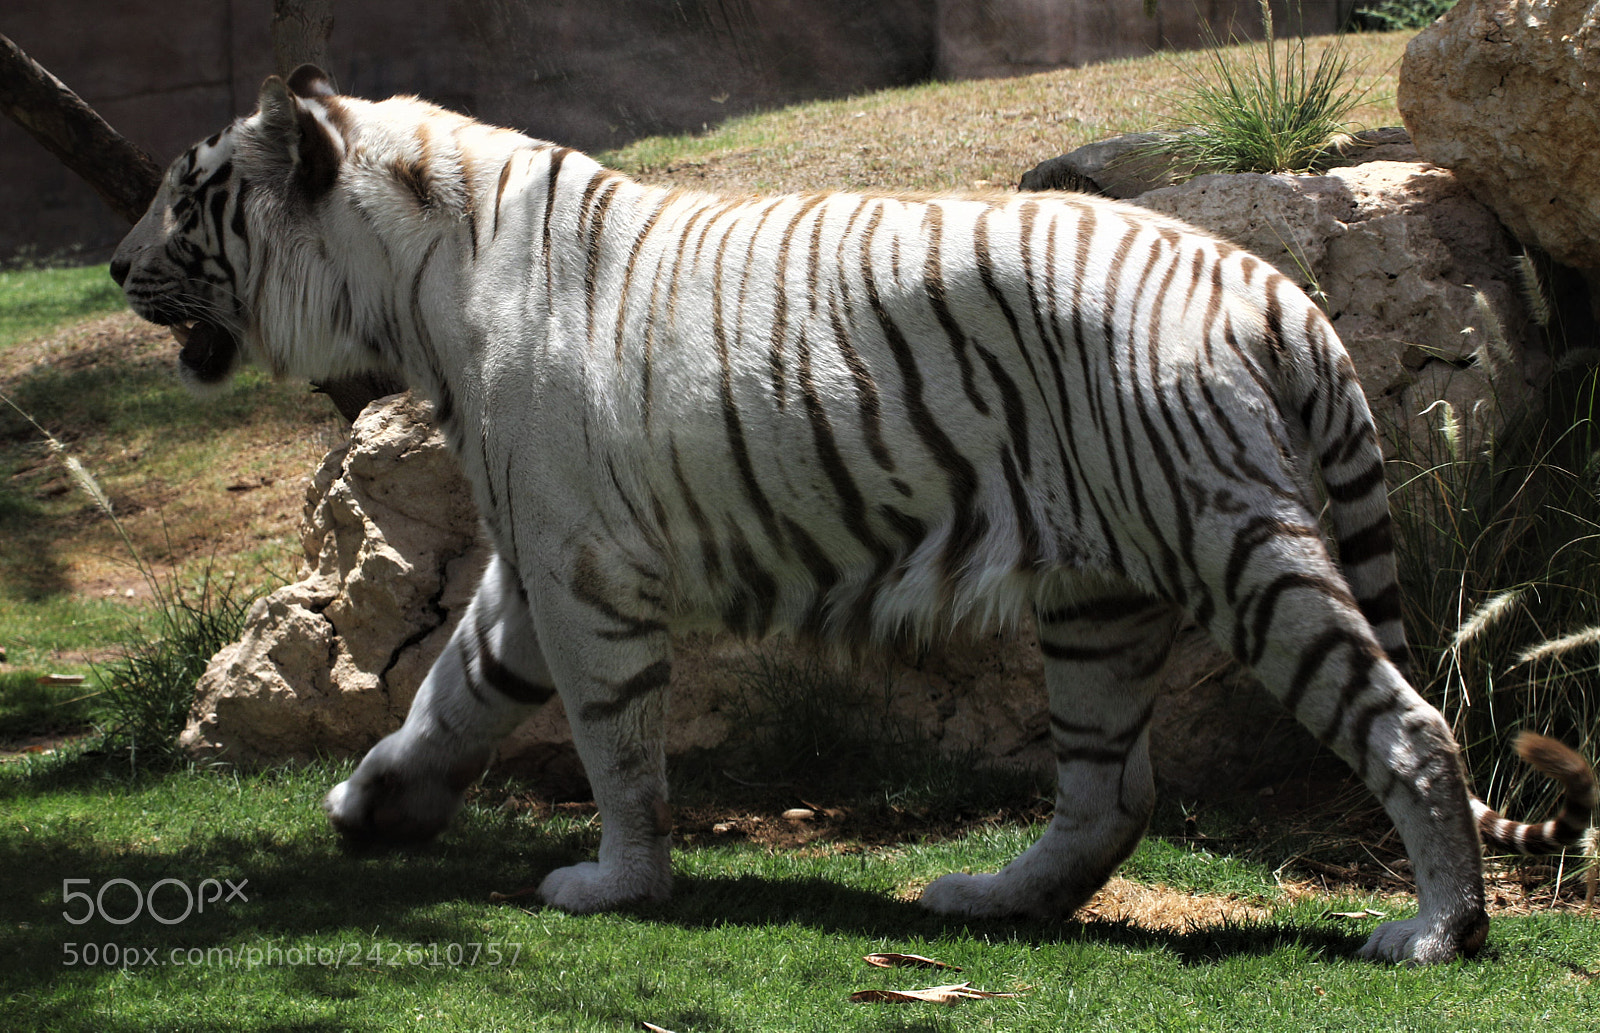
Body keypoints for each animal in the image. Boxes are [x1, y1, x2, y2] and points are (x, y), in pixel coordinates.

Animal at [110, 66, 1595, 965]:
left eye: (187, 195)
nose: (116, 267)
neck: (412, 282)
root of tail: (1271, 285)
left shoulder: (582, 565)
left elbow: (611, 743)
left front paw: (616, 883)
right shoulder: (535, 560)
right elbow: (451, 690)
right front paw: (373, 803)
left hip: (1234, 545)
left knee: (1401, 722)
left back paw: (1437, 932)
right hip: (1097, 597)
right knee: (1111, 789)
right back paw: (989, 898)